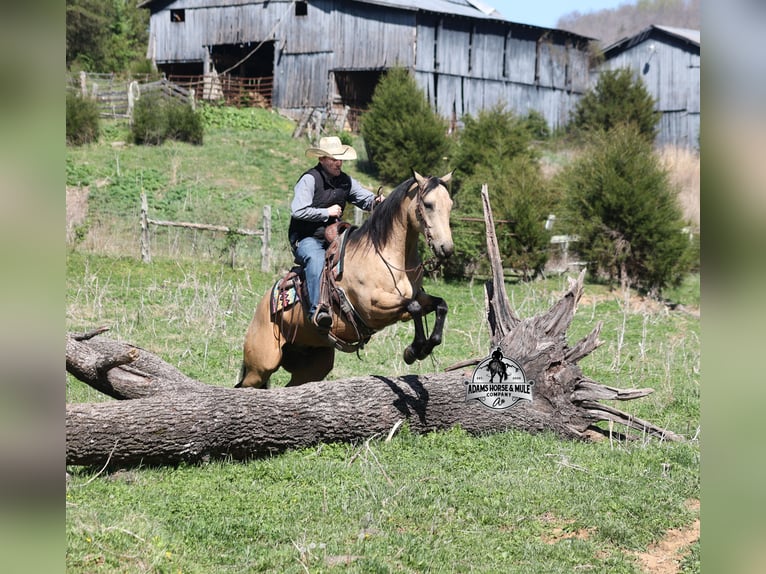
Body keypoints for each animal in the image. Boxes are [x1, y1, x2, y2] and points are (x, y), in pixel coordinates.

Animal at [237, 170, 454, 388]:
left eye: (450, 204)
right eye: (428, 204)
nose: (446, 248)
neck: (386, 256)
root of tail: (262, 308)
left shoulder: (416, 298)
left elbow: (440, 305)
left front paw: (426, 347)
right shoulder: (373, 307)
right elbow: (413, 307)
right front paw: (412, 351)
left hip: (312, 366)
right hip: (261, 365)